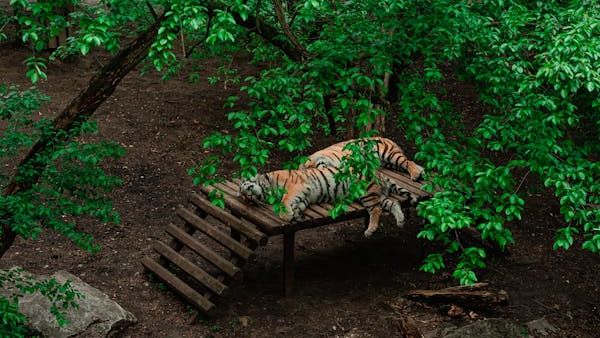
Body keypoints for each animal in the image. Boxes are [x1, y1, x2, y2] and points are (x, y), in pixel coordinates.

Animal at [239, 167, 418, 236]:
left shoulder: (295, 186)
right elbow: (298, 205)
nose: (249, 198)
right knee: (393, 204)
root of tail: (379, 173)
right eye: (244, 198)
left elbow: (285, 200)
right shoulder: (304, 195)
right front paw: (296, 215)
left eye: (246, 189)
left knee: (376, 210)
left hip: (366, 193)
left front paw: (287, 215)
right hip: (377, 196)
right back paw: (400, 221)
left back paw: (370, 230)